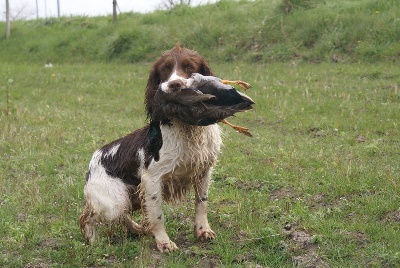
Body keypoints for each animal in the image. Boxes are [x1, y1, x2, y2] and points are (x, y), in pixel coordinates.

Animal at [78, 43, 222, 252]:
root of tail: (94, 159)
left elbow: (201, 203)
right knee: (88, 216)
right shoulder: (152, 179)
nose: (175, 85)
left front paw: (203, 231)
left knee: (122, 216)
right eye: (165, 69)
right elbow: (157, 216)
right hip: (115, 201)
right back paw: (94, 241)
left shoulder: (203, 171)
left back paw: (138, 229)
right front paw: (164, 242)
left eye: (189, 66)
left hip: (131, 198)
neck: (187, 128)